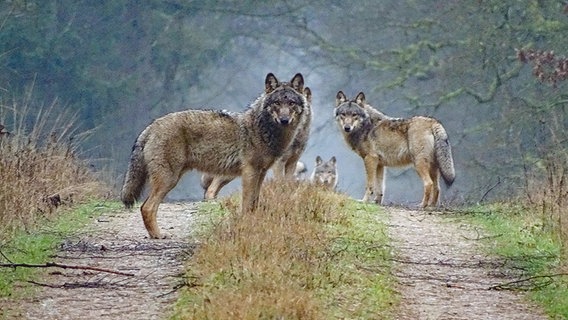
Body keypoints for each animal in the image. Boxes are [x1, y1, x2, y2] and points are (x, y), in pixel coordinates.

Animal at [121, 72, 310, 238]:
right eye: (277, 103)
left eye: (291, 103)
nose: (284, 120)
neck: (262, 129)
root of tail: (150, 127)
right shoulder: (250, 171)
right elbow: (247, 204)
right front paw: (246, 226)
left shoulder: (261, 173)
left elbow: (254, 204)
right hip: (169, 179)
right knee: (147, 207)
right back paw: (158, 235)